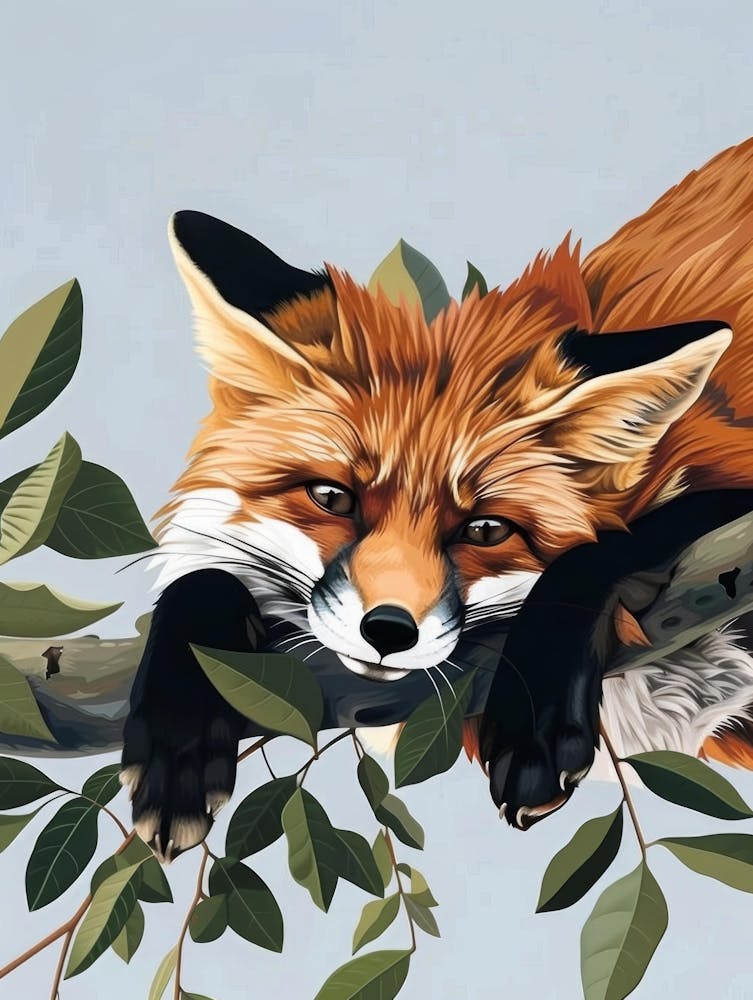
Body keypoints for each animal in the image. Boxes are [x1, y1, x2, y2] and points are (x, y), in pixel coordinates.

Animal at [121, 137, 753, 862]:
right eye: (333, 497)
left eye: (486, 530)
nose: (388, 631)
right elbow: (201, 580)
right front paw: (177, 744)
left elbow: (586, 561)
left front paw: (533, 725)